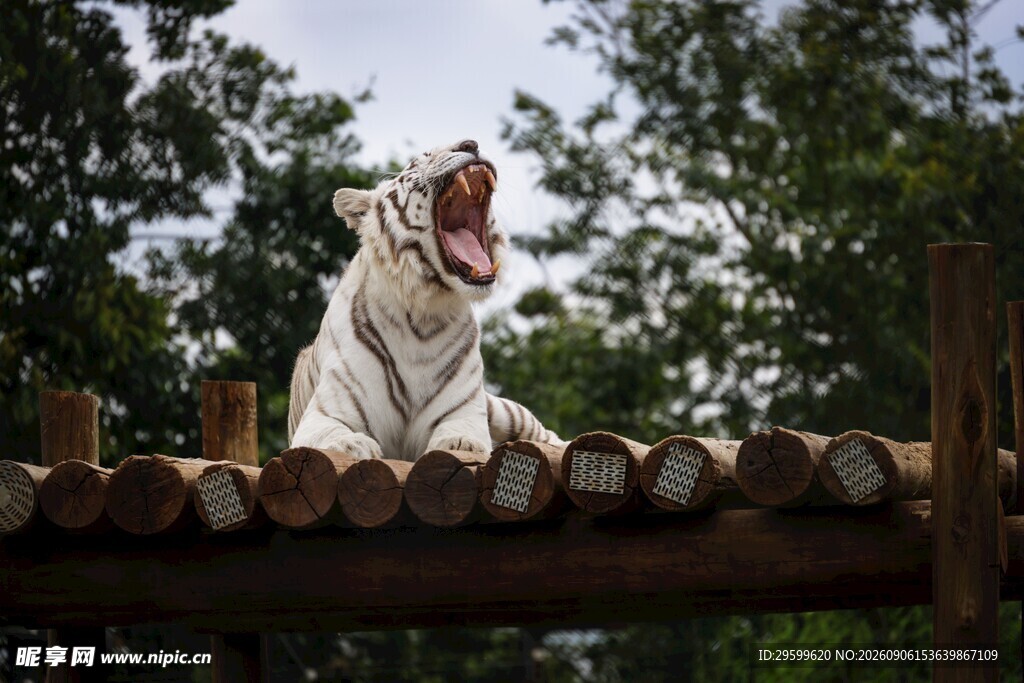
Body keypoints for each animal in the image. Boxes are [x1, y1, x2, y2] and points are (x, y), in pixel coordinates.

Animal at [287, 139, 563, 461]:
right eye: (421, 159)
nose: (471, 143)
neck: (422, 315)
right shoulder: (324, 413)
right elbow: (333, 436)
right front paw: (353, 444)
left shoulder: (464, 410)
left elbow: (461, 434)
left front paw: (460, 444)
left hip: (501, 408)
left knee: (544, 434)